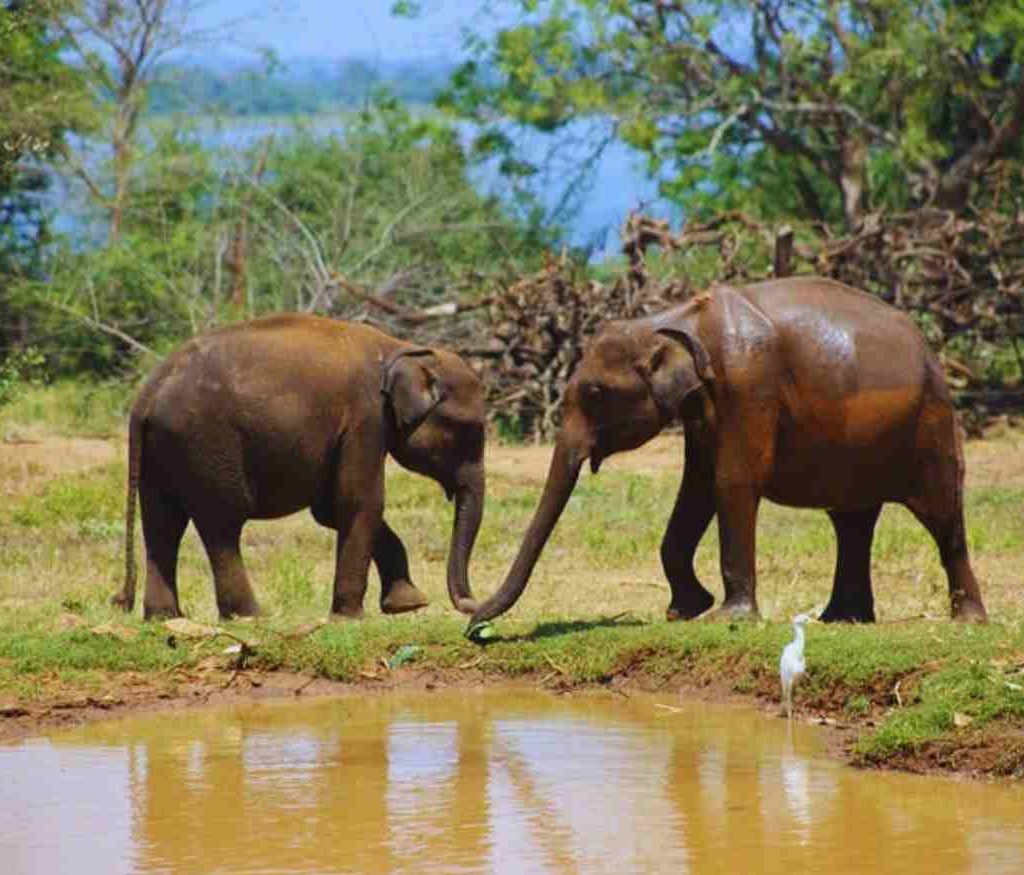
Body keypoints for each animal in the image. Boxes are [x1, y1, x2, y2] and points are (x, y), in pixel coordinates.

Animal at [111, 313, 485, 621]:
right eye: (467, 430)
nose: (470, 604)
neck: (402, 348)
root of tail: (146, 395)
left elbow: (330, 510)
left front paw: (407, 605)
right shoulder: (365, 417)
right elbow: (360, 501)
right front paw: (351, 617)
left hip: (161, 449)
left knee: (163, 522)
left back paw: (163, 617)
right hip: (204, 442)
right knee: (221, 524)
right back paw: (248, 616)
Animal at [470, 276, 988, 627]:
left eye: (595, 394)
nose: (475, 625)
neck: (672, 319)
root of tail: (930, 349)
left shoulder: (748, 383)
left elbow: (730, 481)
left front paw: (726, 618)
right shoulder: (702, 408)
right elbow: (696, 490)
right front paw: (684, 611)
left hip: (931, 424)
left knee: (942, 516)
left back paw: (967, 620)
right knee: (852, 522)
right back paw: (841, 619)